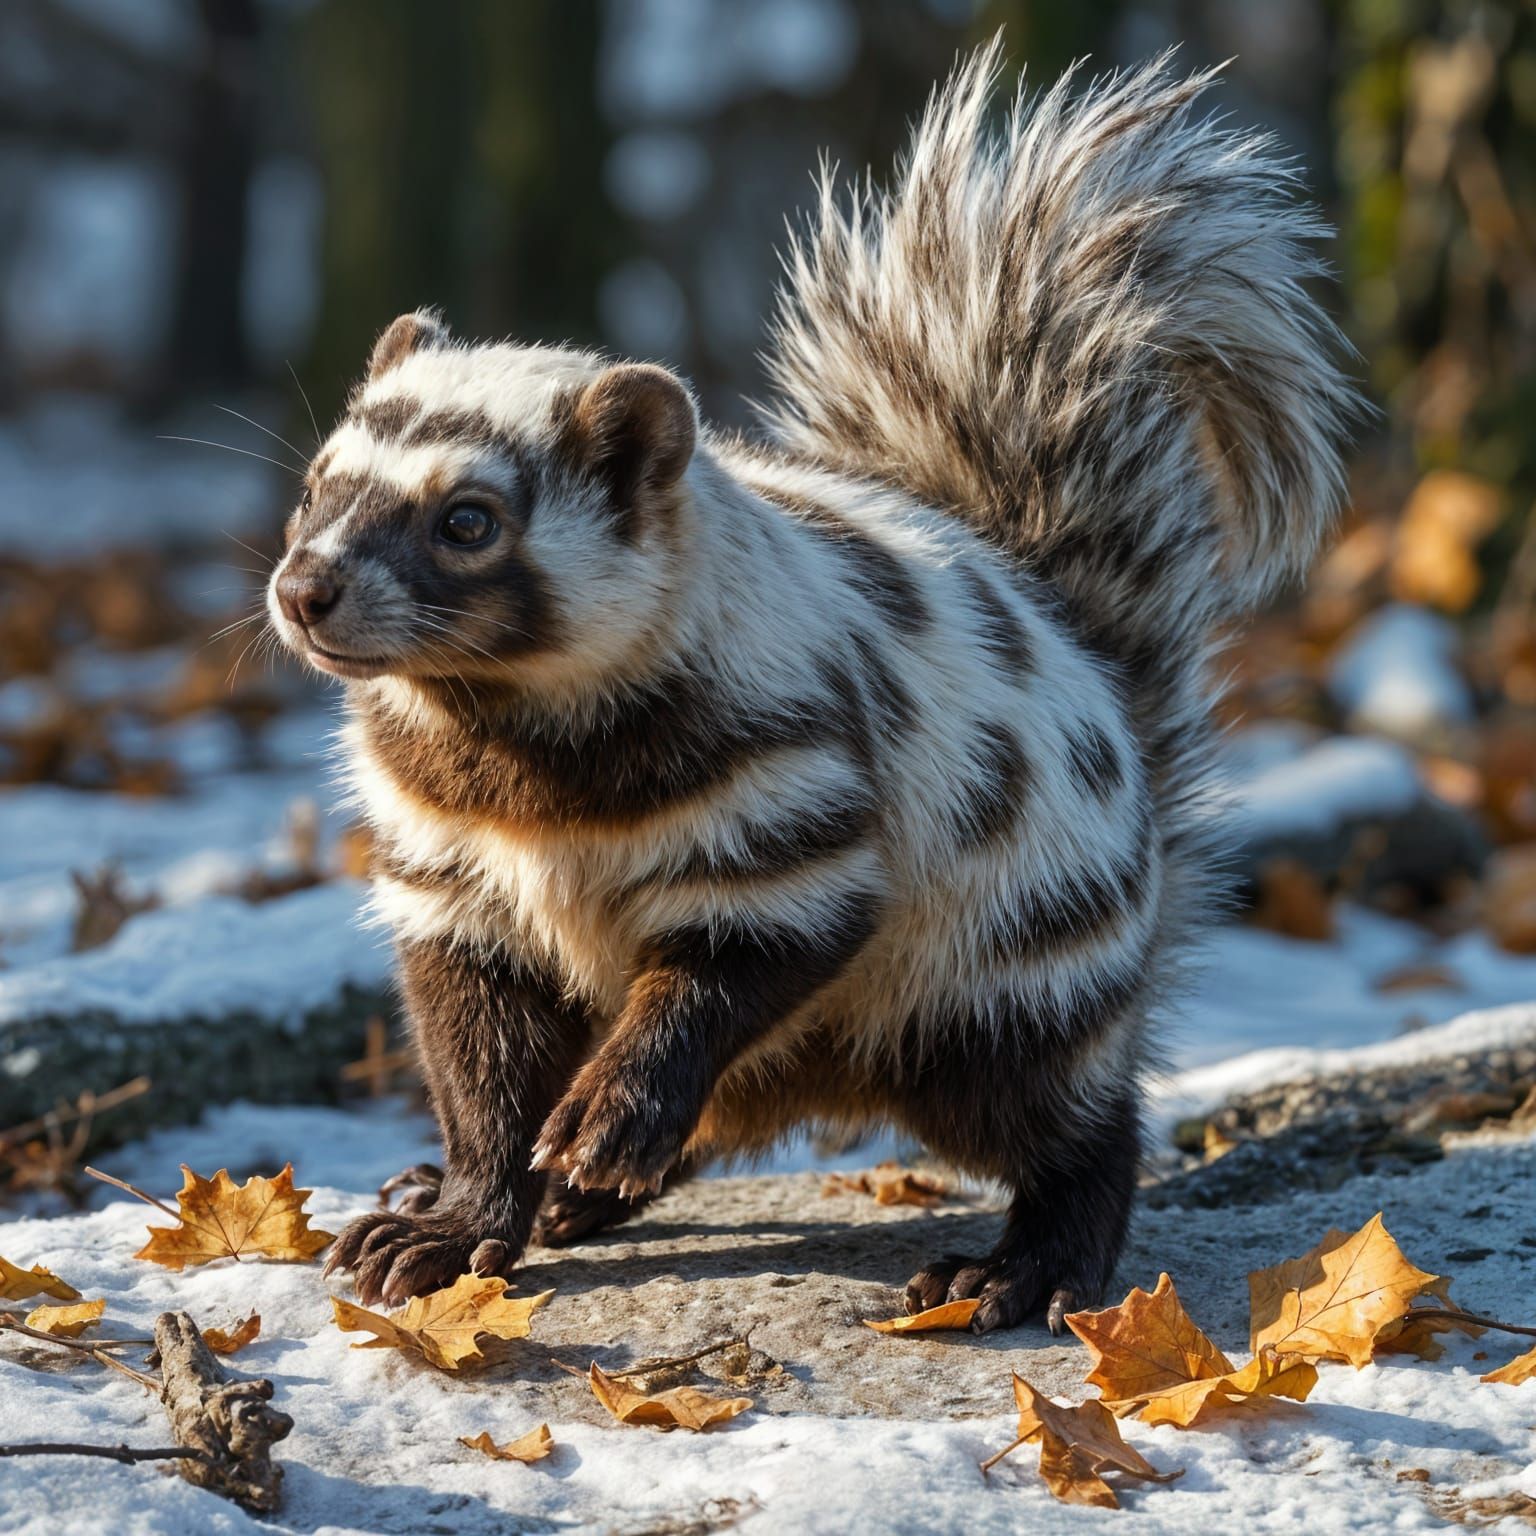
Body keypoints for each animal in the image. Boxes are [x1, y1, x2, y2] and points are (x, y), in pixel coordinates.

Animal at [269, 45, 1355, 1332]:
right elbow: (479, 1052)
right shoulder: (450, 868)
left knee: (1056, 1103)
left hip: (1014, 941)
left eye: (469, 522)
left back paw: (1019, 1267)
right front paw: (447, 1222)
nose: (307, 590)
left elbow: (745, 955)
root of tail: (1082, 651)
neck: (513, 748)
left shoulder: (782, 786)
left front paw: (600, 1124)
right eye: (315, 490)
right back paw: (564, 1195)